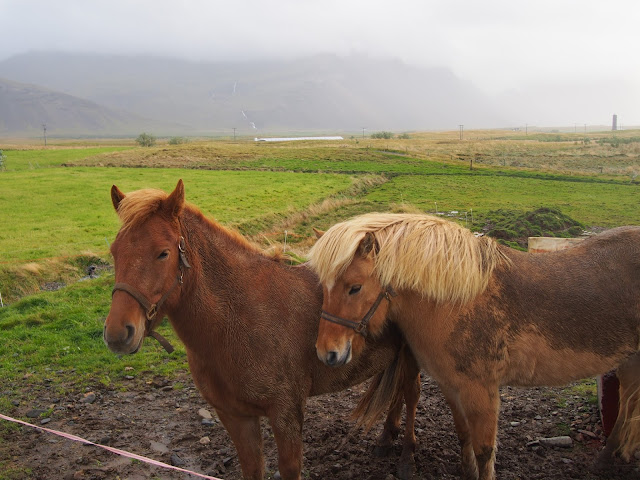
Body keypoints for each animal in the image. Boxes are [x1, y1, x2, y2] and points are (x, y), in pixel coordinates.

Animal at [103, 181, 422, 480]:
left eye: (163, 253)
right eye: (114, 252)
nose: (118, 333)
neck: (240, 318)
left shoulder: (285, 414)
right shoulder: (235, 417)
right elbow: (252, 467)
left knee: (411, 393)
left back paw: (407, 456)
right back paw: (385, 439)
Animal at [308, 214, 640, 480]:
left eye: (355, 288)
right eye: (324, 286)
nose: (327, 353)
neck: (457, 301)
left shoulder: (482, 390)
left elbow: (484, 450)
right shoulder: (451, 385)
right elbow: (463, 433)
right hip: (629, 360)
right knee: (629, 404)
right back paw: (610, 457)